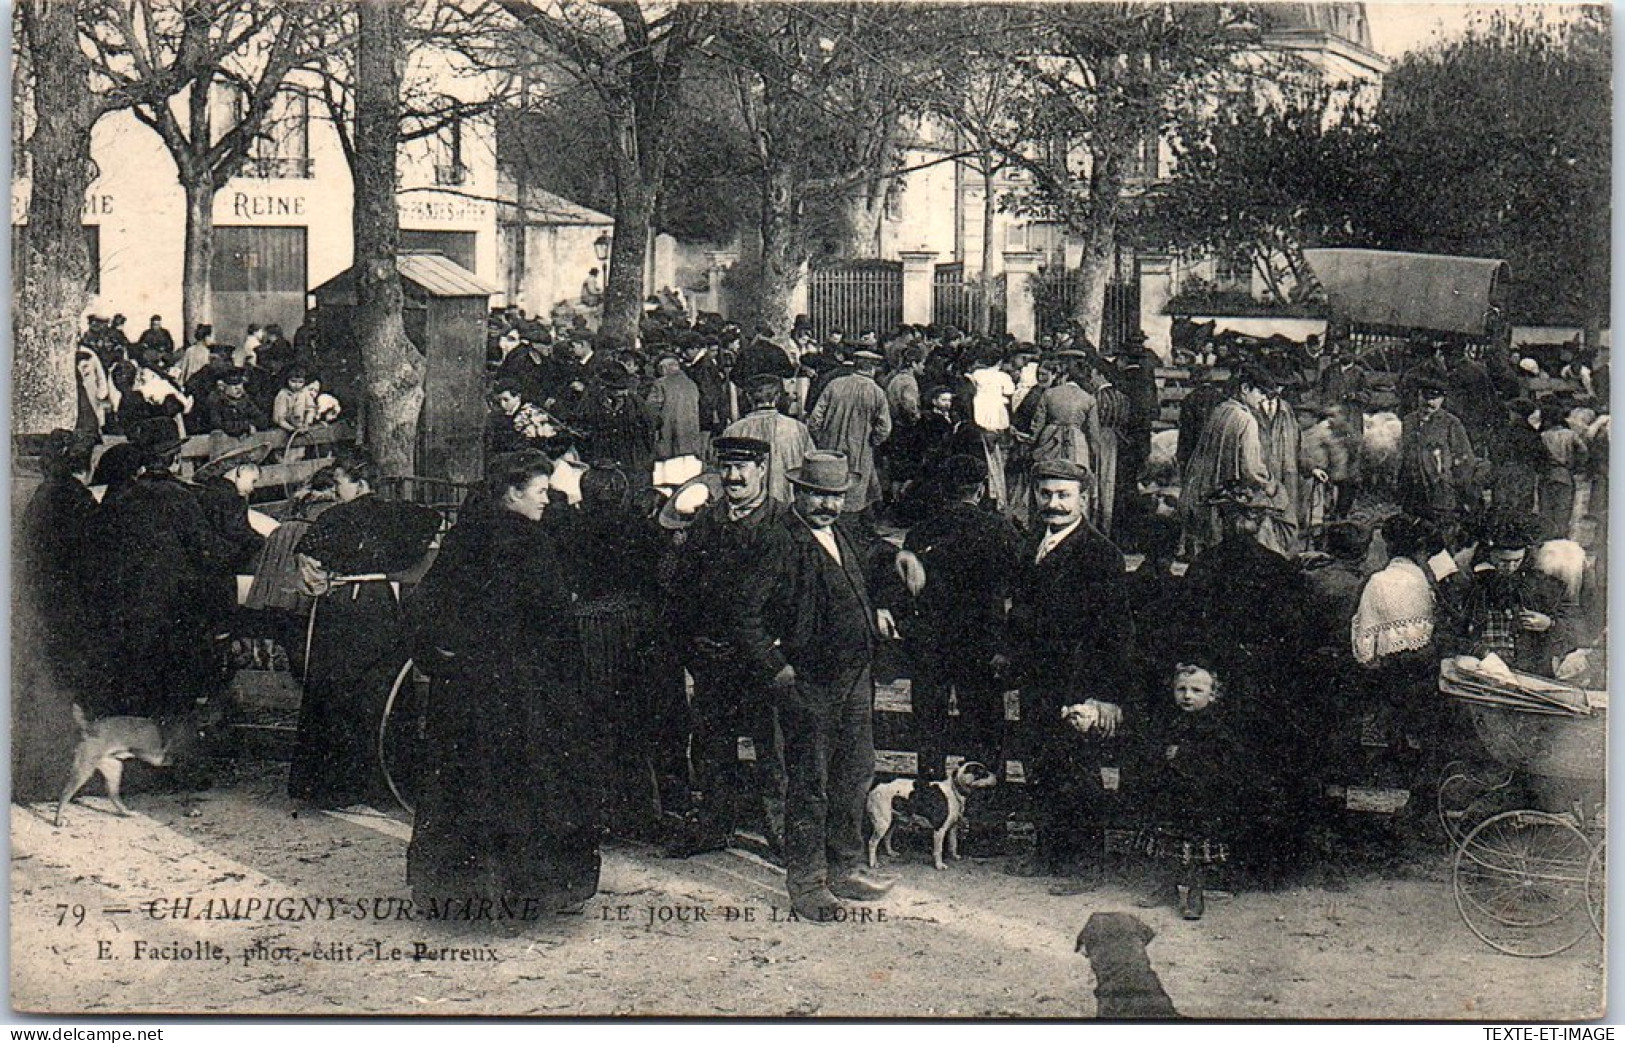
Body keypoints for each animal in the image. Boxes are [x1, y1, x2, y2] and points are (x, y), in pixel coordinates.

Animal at [54, 701, 222, 825]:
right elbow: (187, 791)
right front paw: (192, 809)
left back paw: (127, 812)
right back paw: (58, 819)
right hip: (84, 770)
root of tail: (90, 728)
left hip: (115, 768)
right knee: (65, 793)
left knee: (113, 795)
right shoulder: (181, 765)